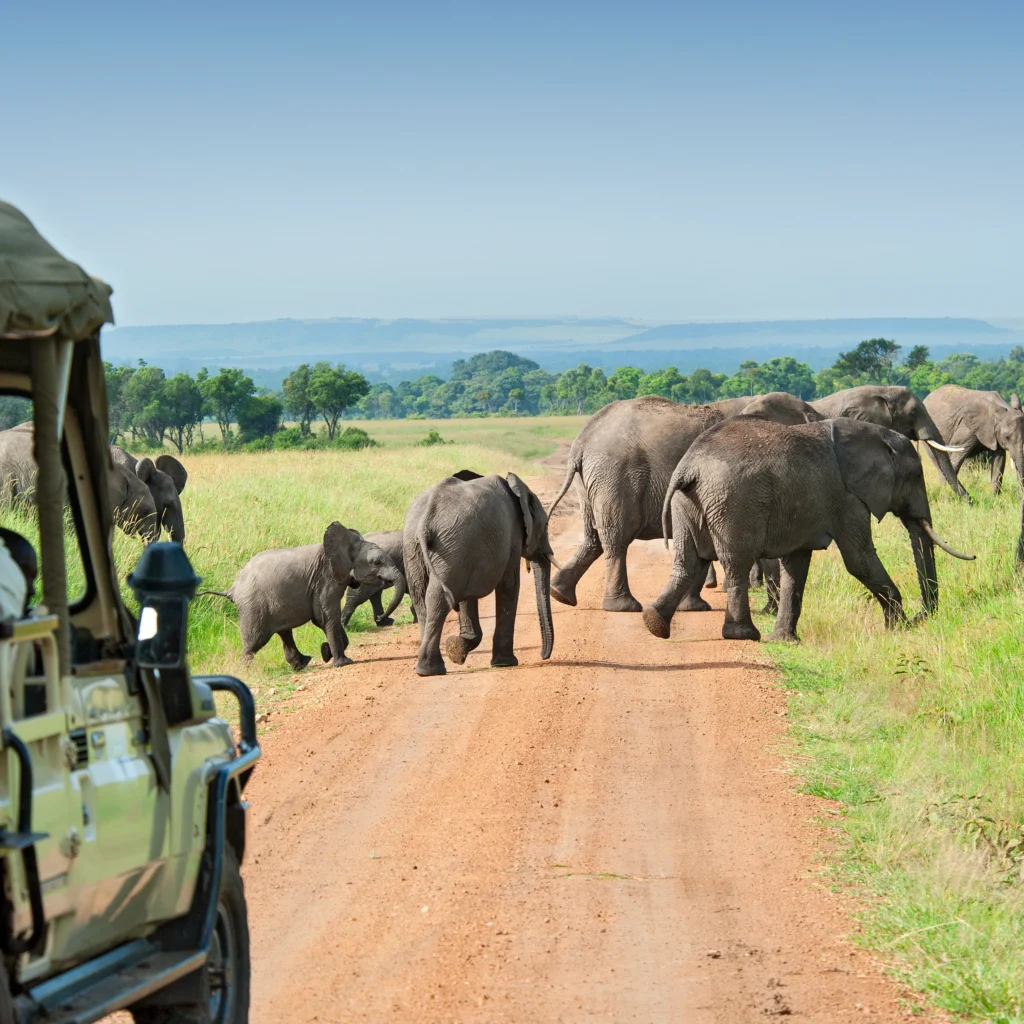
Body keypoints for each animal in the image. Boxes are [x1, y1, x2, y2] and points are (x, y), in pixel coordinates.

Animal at [196, 524, 399, 667]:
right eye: (377, 562)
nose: (380, 619)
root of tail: (233, 588)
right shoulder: (326, 580)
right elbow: (326, 617)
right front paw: (342, 663)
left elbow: (323, 619)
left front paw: (325, 652)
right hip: (252, 606)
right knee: (254, 642)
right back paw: (243, 673)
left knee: (284, 633)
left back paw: (302, 664)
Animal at [544, 387, 823, 602]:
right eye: (811, 419)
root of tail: (581, 440)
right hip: (616, 474)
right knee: (617, 537)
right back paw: (622, 605)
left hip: (591, 479)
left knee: (593, 537)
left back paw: (560, 594)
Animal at [643, 413, 970, 638]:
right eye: (915, 476)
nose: (921, 617)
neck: (875, 435)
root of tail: (689, 467)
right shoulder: (847, 497)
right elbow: (859, 559)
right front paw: (897, 629)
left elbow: (796, 565)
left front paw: (785, 640)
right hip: (733, 502)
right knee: (736, 562)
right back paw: (744, 635)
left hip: (688, 503)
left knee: (688, 561)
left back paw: (654, 624)